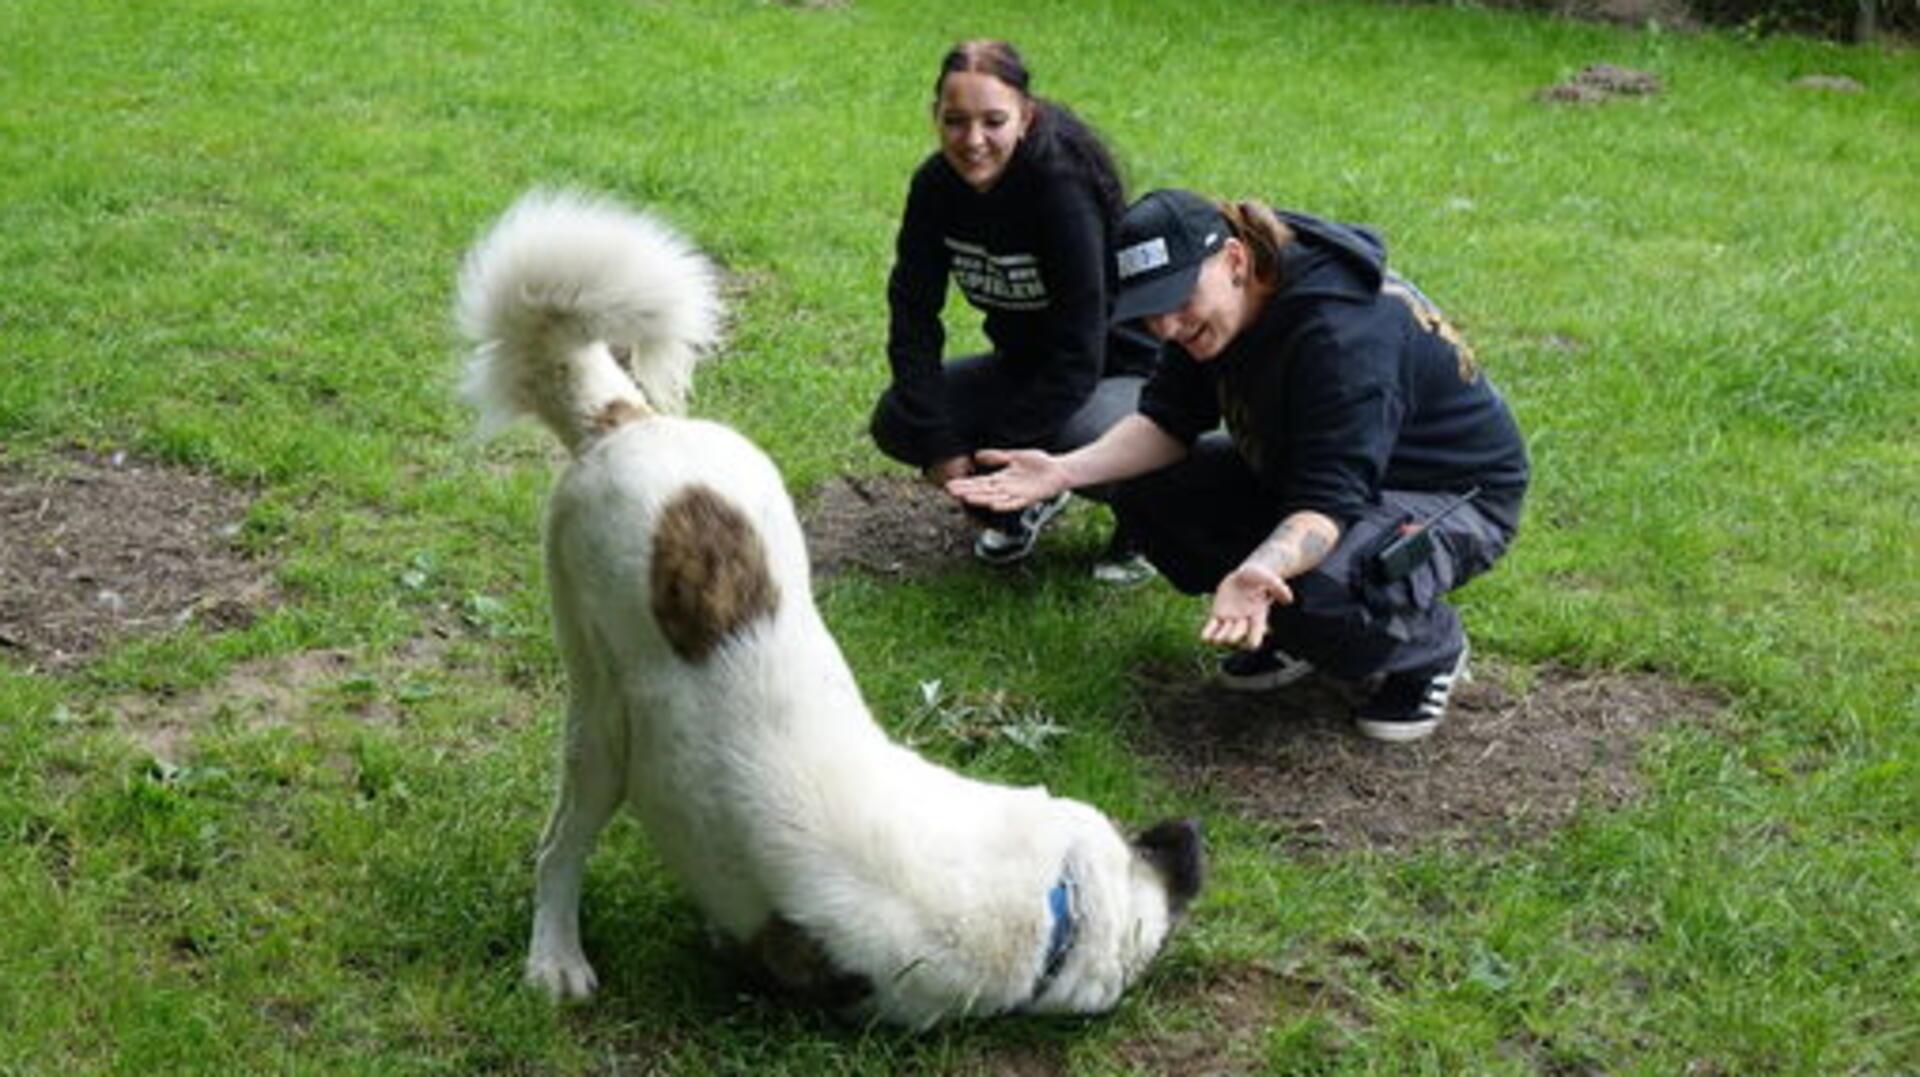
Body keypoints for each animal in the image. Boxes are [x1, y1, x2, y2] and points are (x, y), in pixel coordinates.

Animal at [451, 191, 1198, 1021]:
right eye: (1141, 859)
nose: (1192, 838)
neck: (1051, 912)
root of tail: (631, 420)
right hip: (601, 714)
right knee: (560, 845)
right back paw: (556, 956)